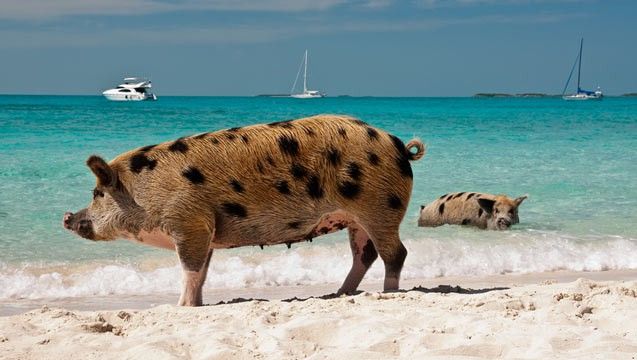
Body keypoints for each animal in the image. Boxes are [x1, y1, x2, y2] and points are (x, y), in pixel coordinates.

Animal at [62, 115, 424, 306]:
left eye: (97, 193)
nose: (67, 217)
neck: (145, 190)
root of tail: (398, 145)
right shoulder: (206, 229)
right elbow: (202, 272)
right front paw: (196, 305)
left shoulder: (190, 222)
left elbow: (189, 269)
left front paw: (179, 306)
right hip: (357, 218)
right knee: (365, 254)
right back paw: (339, 293)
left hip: (379, 207)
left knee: (396, 253)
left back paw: (389, 292)